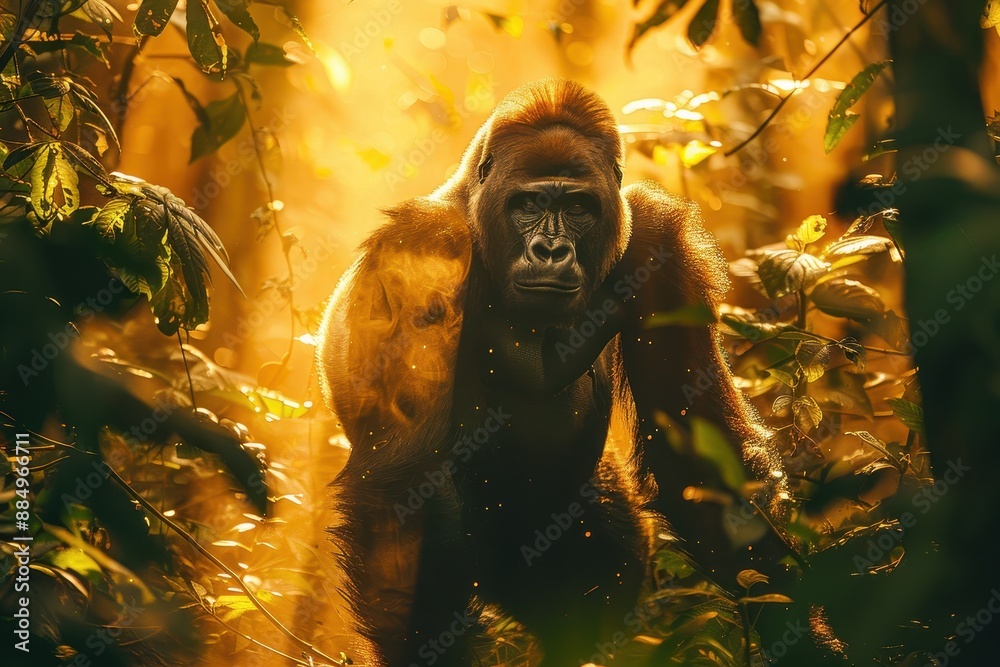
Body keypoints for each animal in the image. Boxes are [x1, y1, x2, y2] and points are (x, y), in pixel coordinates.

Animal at [317, 78, 786, 666]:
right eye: (530, 203)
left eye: (580, 207)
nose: (550, 249)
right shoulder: (422, 247)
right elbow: (401, 488)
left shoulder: (659, 239)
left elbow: (699, 462)